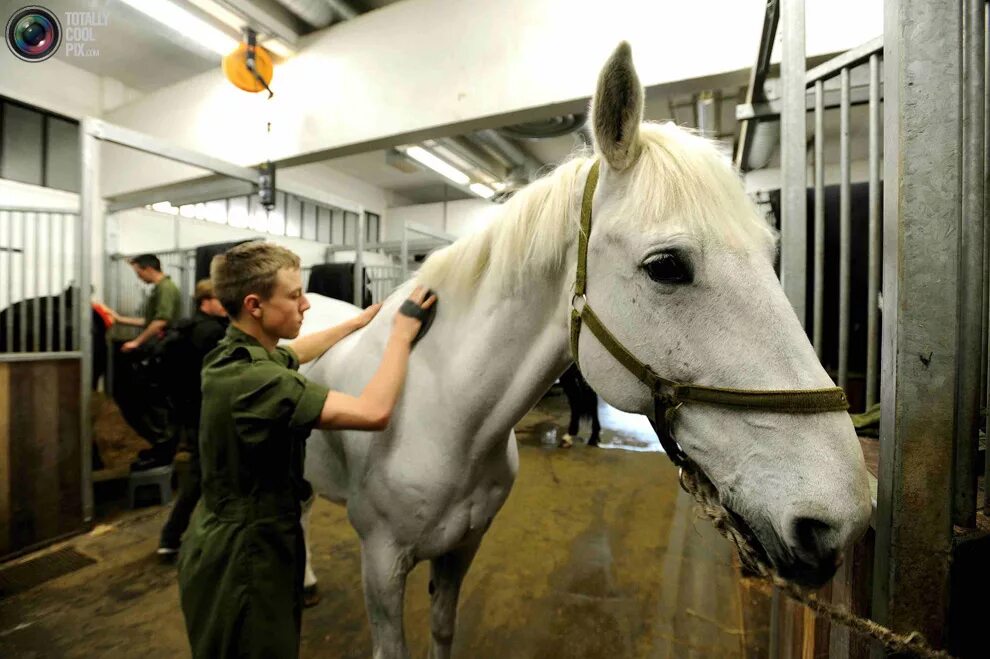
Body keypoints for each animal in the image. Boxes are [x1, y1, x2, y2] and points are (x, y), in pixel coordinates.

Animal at [298, 42, 872, 659]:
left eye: (771, 255)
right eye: (666, 265)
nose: (841, 517)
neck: (442, 412)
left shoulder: (463, 547)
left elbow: (443, 628)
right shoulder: (381, 564)